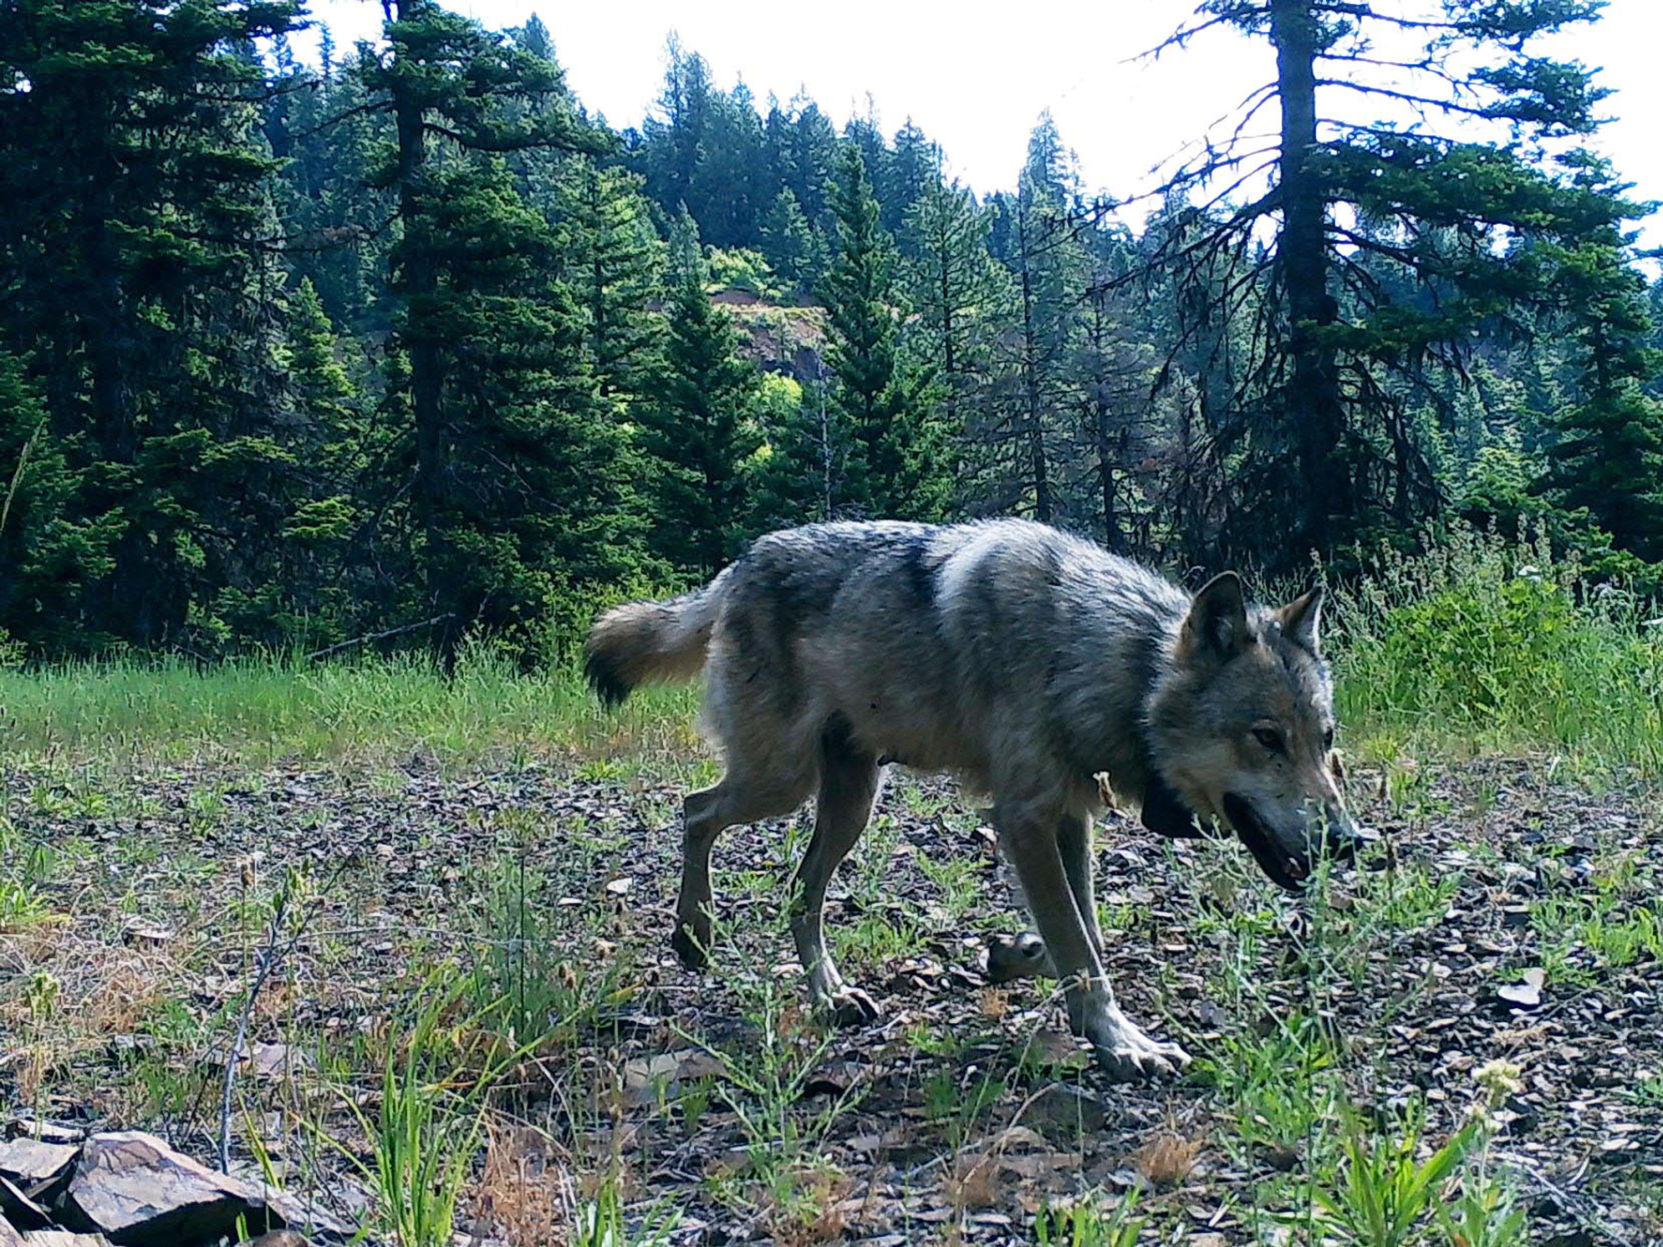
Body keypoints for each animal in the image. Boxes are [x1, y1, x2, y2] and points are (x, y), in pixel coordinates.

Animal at [592, 522, 1357, 1077]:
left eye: (1325, 741)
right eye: (1266, 738)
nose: (1350, 841)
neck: (1095, 659)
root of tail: (740, 563)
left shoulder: (1069, 819)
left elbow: (1081, 936)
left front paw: (1015, 955)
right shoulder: (1023, 819)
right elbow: (1079, 945)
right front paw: (1121, 1042)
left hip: (850, 802)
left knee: (795, 891)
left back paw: (830, 996)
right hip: (781, 781)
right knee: (695, 809)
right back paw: (694, 933)